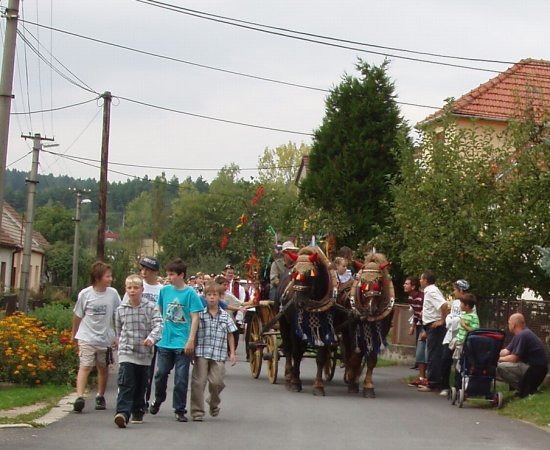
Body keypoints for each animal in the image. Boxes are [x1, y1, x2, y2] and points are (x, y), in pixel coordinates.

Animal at [274, 244, 340, 396]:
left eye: (310, 274)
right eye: (294, 273)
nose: (298, 303)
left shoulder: (326, 329)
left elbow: (321, 356)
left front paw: (318, 386)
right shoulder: (295, 328)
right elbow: (296, 352)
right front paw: (295, 382)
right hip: (283, 323)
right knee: (288, 348)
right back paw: (288, 376)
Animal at [336, 253, 396, 398]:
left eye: (379, 281)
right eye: (362, 280)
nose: (370, 308)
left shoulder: (379, 334)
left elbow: (371, 359)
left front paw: (368, 386)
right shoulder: (352, 332)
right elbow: (355, 357)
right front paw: (352, 382)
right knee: (351, 354)